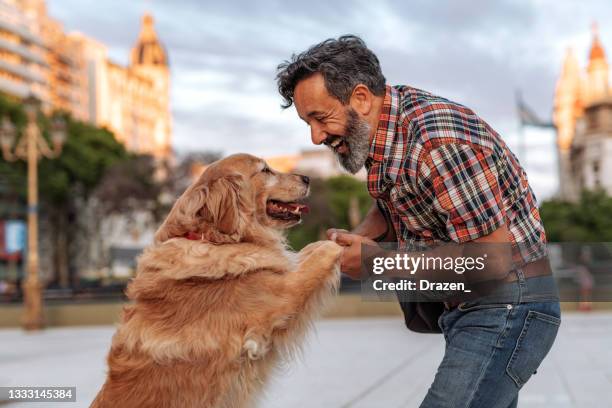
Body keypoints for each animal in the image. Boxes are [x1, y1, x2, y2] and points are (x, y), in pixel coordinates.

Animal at [93, 154, 344, 408]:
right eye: (265, 170)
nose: (307, 178)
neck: (212, 238)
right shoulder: (283, 297)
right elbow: (326, 250)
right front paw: (344, 243)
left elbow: (311, 250)